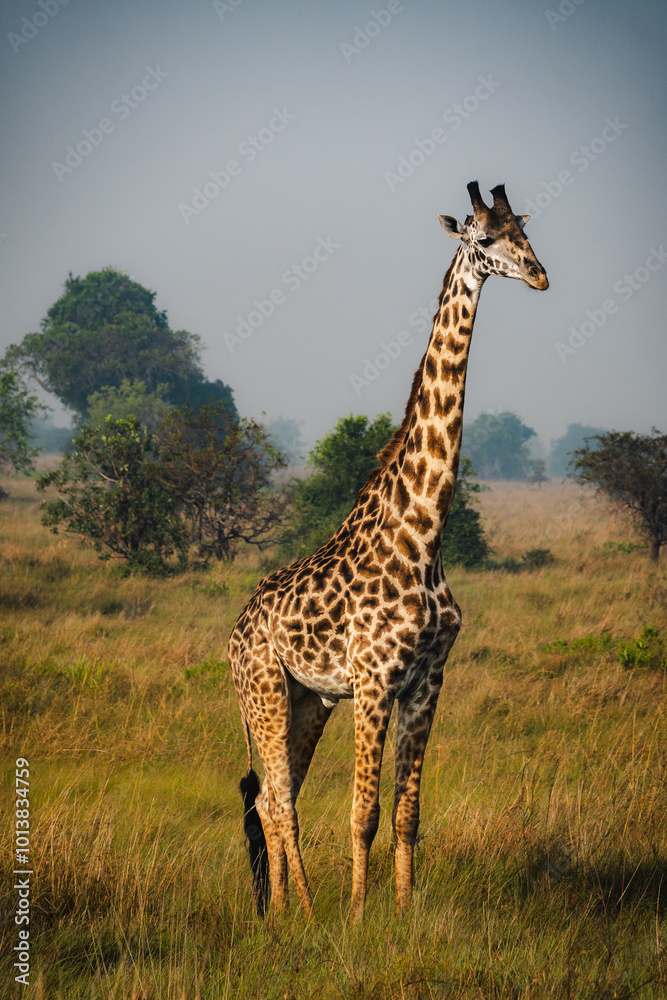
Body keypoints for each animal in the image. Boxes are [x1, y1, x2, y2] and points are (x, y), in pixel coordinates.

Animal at [229, 181, 548, 920]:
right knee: (278, 801)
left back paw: (280, 909)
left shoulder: (427, 678)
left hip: (307, 700)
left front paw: (402, 914)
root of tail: (234, 629)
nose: (539, 274)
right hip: (261, 690)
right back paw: (303, 912)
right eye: (483, 239)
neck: (423, 535)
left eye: (524, 232)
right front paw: (355, 916)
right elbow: (362, 813)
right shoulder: (374, 679)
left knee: (271, 798)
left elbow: (406, 812)